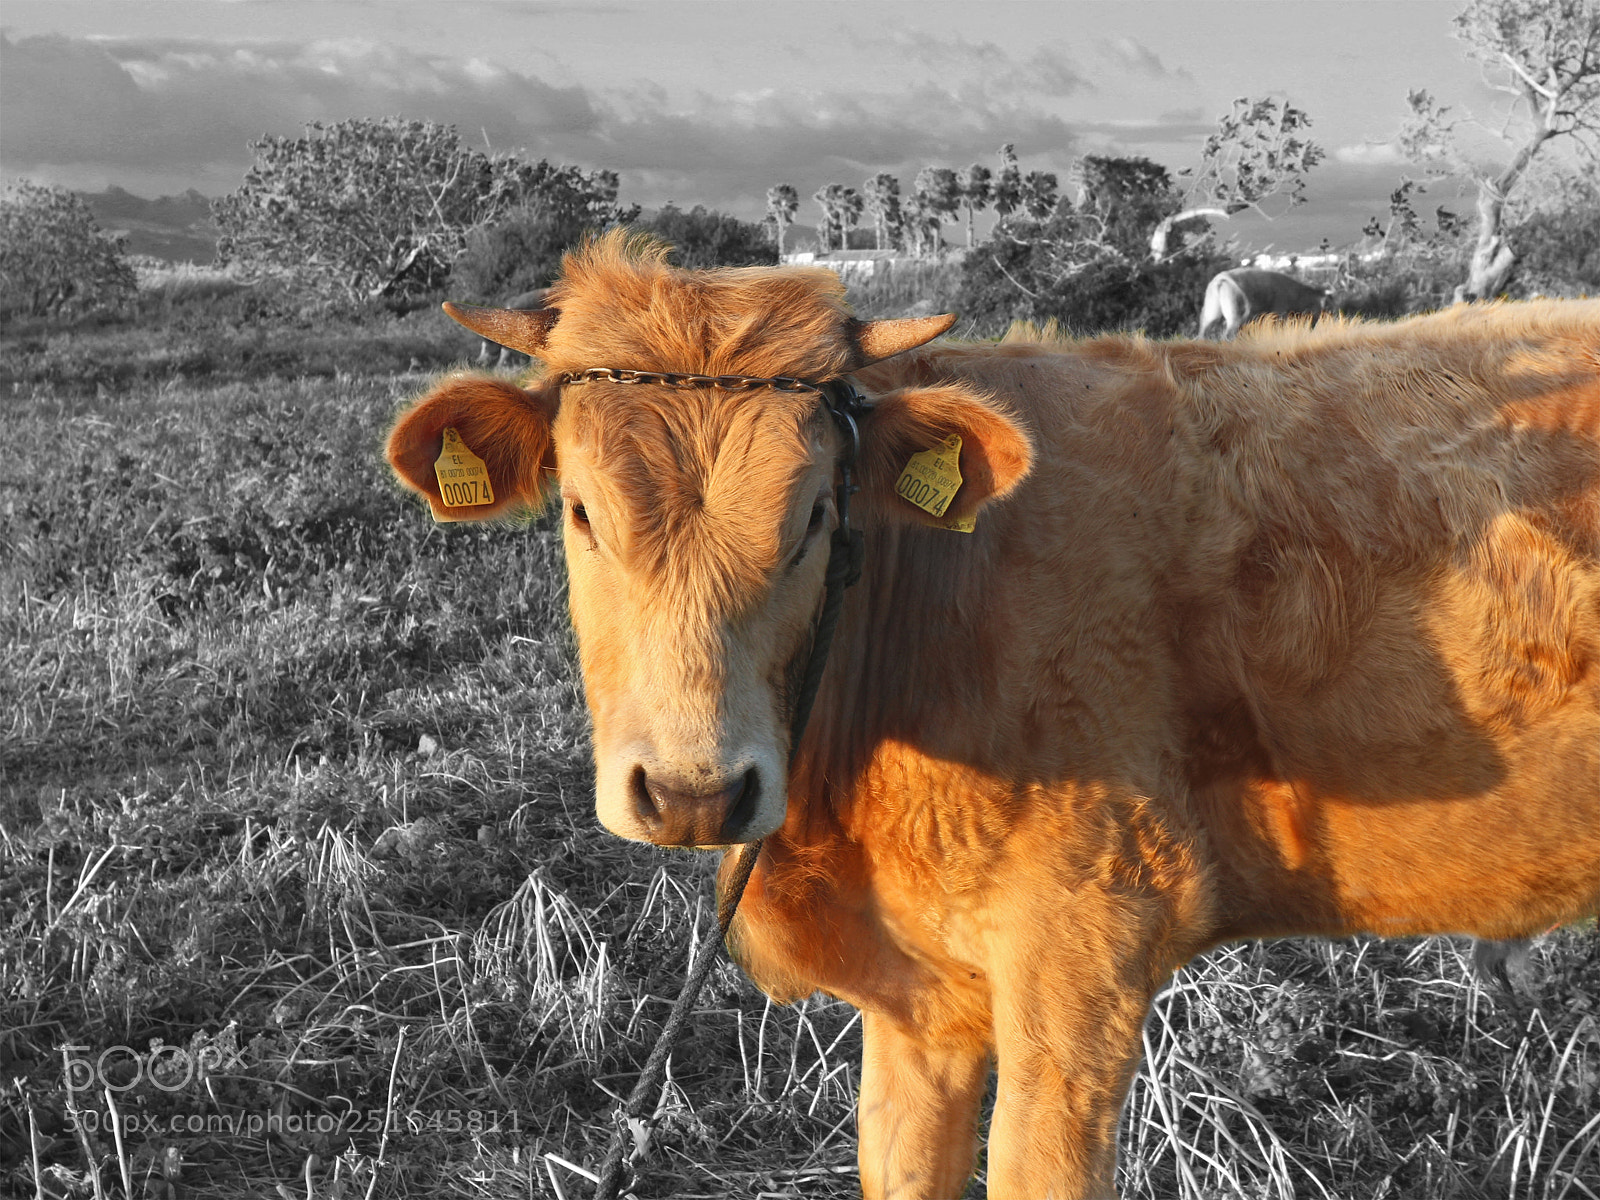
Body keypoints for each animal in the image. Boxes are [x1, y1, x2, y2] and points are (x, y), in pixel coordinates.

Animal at [1199, 266, 1329, 340]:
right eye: (1320, 306)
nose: (1313, 327)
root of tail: (1220, 280)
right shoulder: (1279, 313)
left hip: (1211, 314)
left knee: (1203, 334)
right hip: (1235, 316)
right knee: (1228, 336)